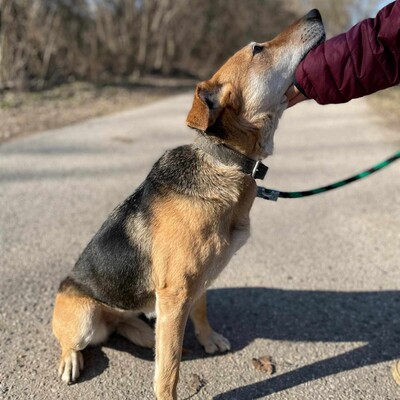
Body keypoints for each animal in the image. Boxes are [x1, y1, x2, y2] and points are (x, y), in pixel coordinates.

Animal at [52, 10, 324, 400]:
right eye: (258, 49)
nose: (315, 12)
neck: (225, 161)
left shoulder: (196, 284)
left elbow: (201, 313)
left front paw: (208, 340)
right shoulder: (176, 293)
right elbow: (169, 370)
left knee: (125, 325)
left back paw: (143, 333)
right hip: (83, 319)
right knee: (74, 341)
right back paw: (72, 359)